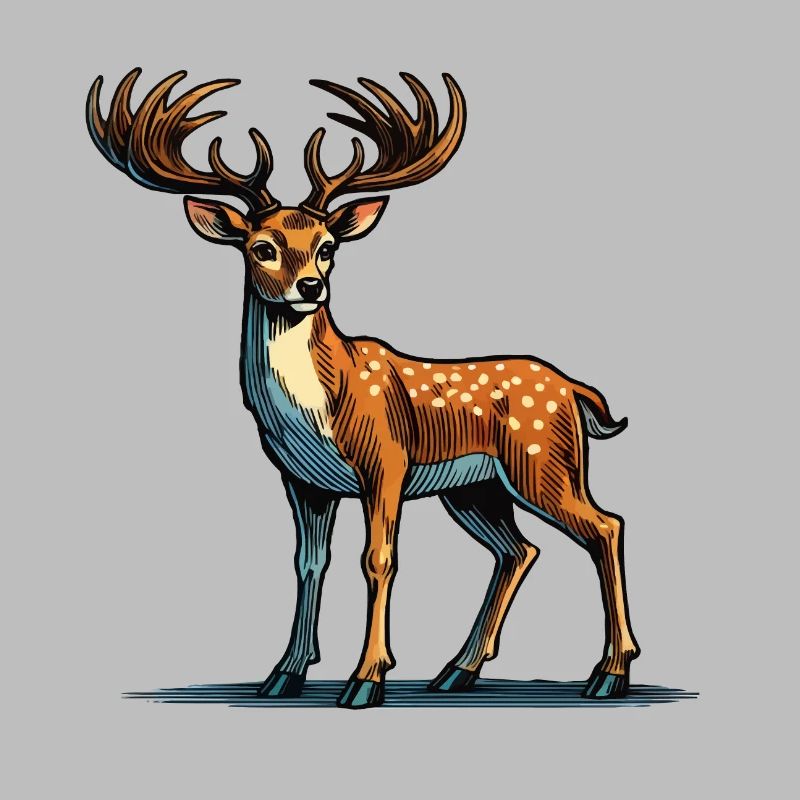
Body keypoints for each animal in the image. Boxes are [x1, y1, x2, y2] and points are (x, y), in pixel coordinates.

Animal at [86, 68, 639, 709]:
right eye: (261, 247)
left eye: (328, 247)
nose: (310, 286)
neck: (319, 404)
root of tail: (575, 390)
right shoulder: (302, 480)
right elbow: (308, 563)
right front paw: (284, 673)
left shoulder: (385, 461)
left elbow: (378, 559)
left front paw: (366, 678)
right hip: (476, 489)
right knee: (519, 549)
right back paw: (457, 670)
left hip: (544, 462)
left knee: (605, 526)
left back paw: (610, 673)